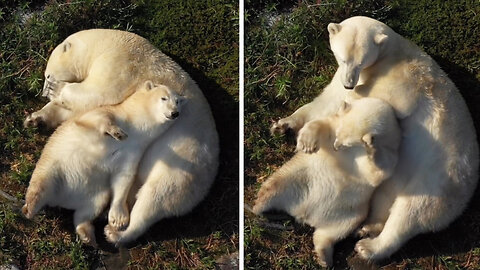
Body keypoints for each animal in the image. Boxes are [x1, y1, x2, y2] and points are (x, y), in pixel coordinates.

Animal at [21, 81, 185, 246]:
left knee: (89, 209)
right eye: (164, 98)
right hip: (53, 166)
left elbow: (124, 177)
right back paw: (29, 208)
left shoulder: (134, 151)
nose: (175, 113)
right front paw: (118, 133)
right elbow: (100, 118)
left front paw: (119, 219)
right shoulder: (105, 113)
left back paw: (88, 235)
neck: (137, 129)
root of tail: (62, 200)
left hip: (96, 193)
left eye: (177, 101)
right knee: (41, 184)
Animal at [255, 96, 402, 266]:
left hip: (351, 212)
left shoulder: (391, 154)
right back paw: (258, 206)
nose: (336, 147)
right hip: (297, 176)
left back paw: (324, 257)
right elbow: (321, 123)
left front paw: (370, 146)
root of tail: (305, 215)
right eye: (338, 135)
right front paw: (307, 143)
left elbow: (376, 173)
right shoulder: (334, 123)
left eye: (347, 143)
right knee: (274, 185)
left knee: (334, 232)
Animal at [272, 15, 478, 260]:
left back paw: (368, 247)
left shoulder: (403, 81)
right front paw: (283, 125)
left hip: (437, 178)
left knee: (411, 211)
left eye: (361, 62)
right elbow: (326, 100)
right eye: (342, 58)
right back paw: (366, 228)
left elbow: (380, 103)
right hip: (401, 175)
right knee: (384, 198)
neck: (390, 52)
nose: (349, 82)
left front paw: (308, 139)